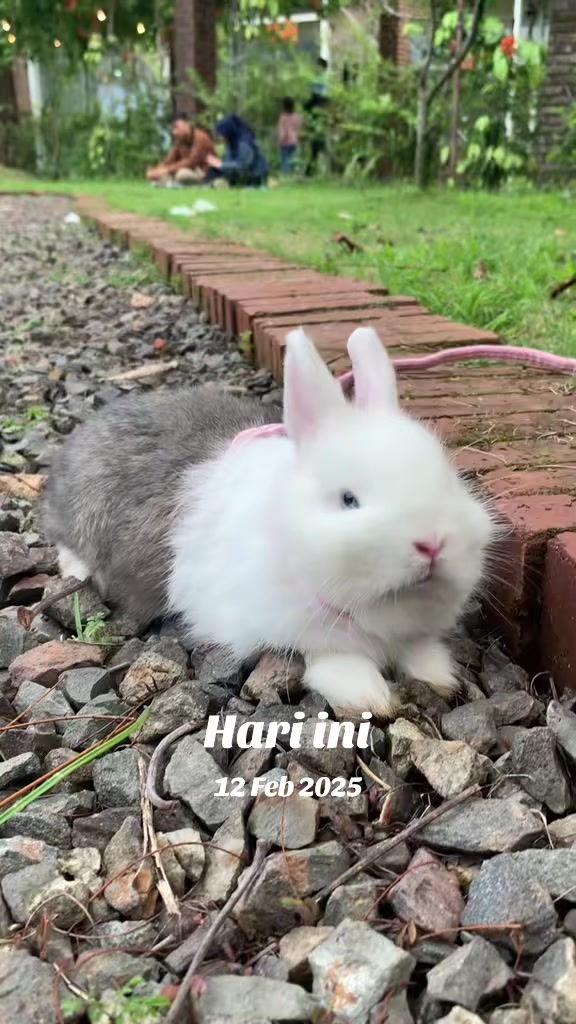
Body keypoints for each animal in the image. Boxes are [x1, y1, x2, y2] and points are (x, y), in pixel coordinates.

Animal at [44, 326, 495, 718]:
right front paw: (368, 697)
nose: (432, 543)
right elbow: (331, 658)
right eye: (348, 499)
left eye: (449, 480)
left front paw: (439, 677)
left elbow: (419, 651)